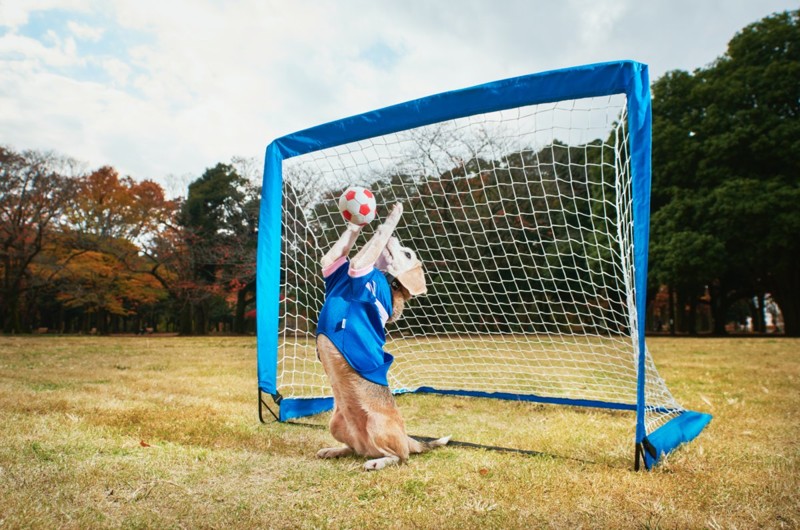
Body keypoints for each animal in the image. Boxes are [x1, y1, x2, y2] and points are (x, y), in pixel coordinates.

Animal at [314, 202, 450, 470]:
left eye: (407, 254)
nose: (396, 239)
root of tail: (408, 438)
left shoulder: (358, 266)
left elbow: (376, 239)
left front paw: (392, 217)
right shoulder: (332, 263)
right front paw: (356, 223)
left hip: (378, 426)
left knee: (400, 457)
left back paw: (379, 462)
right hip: (335, 424)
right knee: (354, 449)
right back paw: (335, 450)